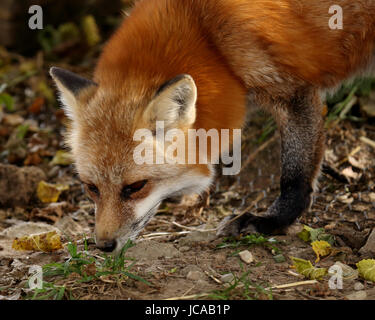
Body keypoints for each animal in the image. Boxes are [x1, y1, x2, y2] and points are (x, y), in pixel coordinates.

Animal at [50, 0, 375, 252]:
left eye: (135, 187)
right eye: (91, 188)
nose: (104, 246)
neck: (205, 31)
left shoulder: (292, 91)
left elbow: (295, 174)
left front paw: (271, 221)